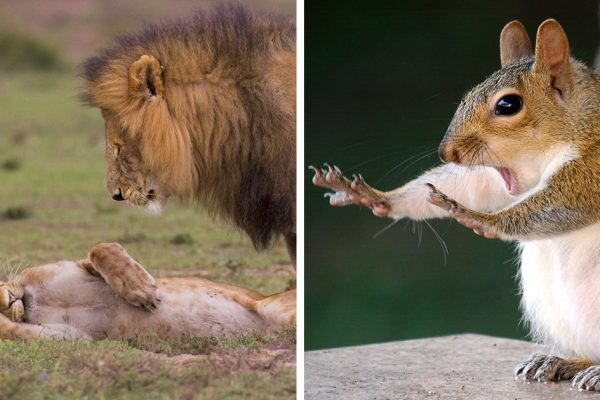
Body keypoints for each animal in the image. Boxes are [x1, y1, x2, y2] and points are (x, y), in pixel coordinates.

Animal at [0, 242, 296, 340]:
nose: (5, 299)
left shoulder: (81, 267)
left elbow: (101, 249)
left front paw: (142, 291)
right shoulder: (71, 336)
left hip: (276, 307)